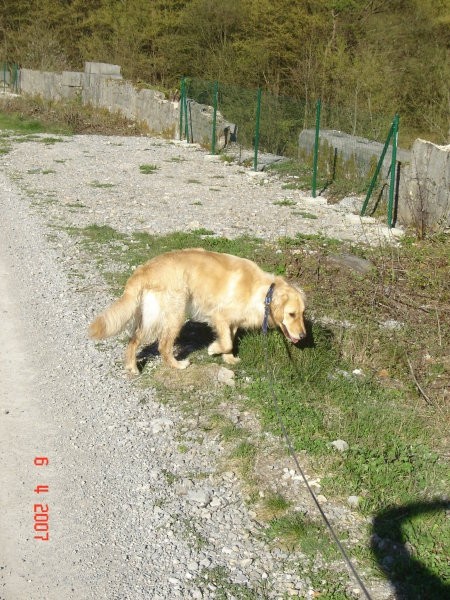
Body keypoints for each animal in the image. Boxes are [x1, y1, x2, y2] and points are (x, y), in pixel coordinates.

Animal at [88, 247, 306, 370]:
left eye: (302, 314)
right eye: (291, 314)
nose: (303, 336)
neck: (264, 293)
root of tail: (143, 270)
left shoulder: (233, 320)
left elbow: (230, 340)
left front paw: (229, 358)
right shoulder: (220, 316)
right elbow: (227, 342)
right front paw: (214, 349)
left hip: (151, 315)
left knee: (134, 340)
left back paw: (132, 367)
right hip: (175, 313)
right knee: (163, 346)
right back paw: (177, 365)